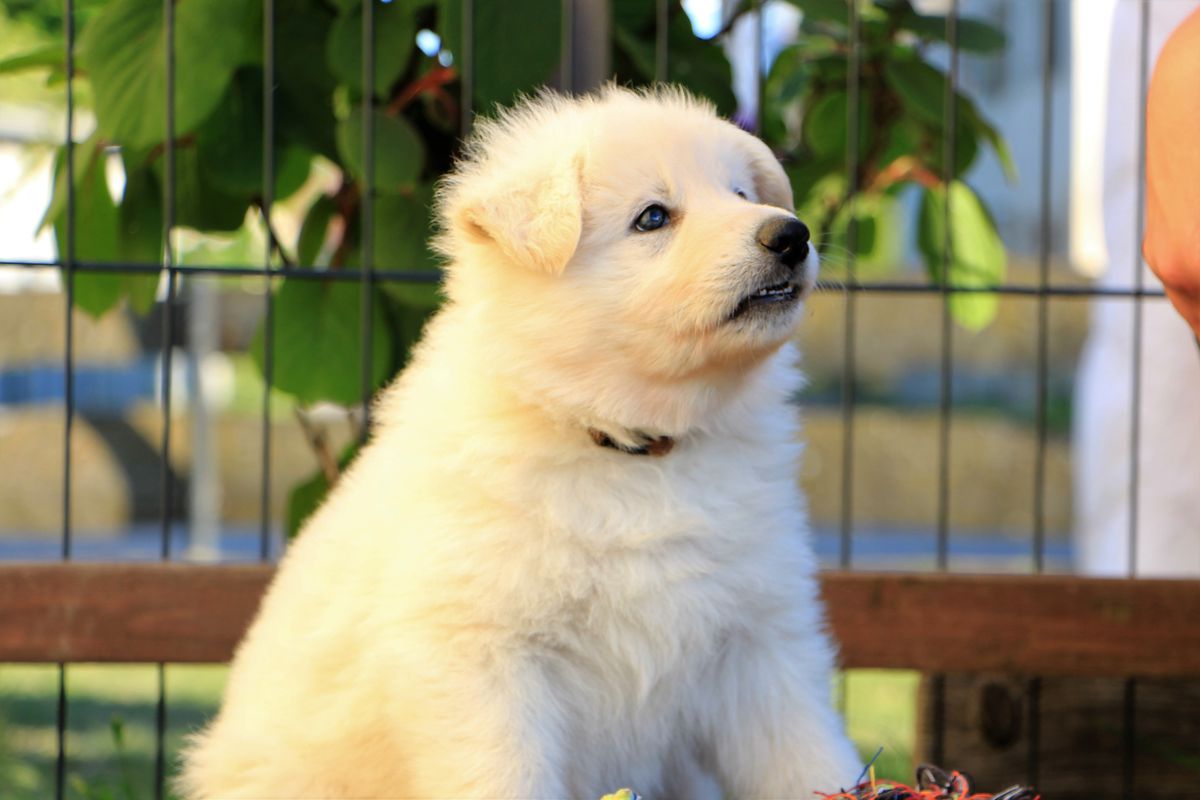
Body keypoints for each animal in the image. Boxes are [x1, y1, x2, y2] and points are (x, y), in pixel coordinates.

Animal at [177, 87, 859, 800]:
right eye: (652, 217)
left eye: (739, 192)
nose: (791, 233)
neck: (628, 446)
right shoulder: (482, 658)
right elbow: (506, 775)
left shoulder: (758, 639)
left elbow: (805, 751)